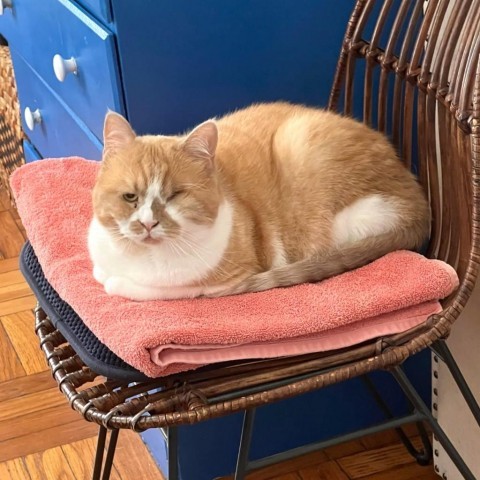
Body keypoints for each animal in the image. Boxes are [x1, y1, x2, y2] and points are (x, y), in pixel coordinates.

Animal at [88, 102, 430, 300]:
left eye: (175, 195)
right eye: (130, 196)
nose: (148, 224)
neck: (141, 257)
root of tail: (420, 203)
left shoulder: (224, 281)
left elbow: (157, 289)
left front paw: (118, 283)